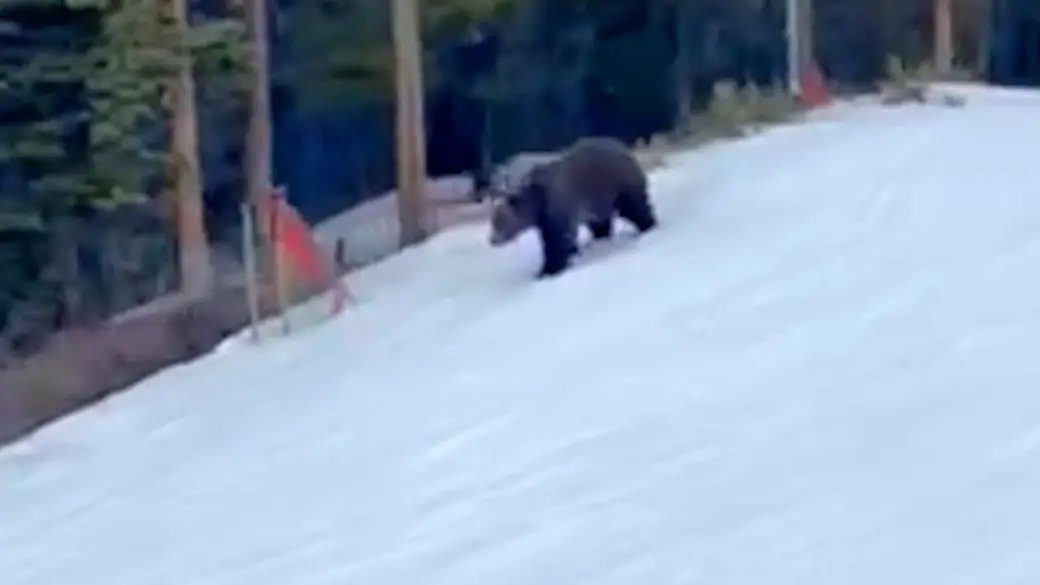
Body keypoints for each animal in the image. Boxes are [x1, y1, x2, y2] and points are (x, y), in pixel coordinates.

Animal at [487, 136, 657, 277]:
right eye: (493, 219)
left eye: (500, 219)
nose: (492, 240)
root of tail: (624, 148)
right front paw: (570, 254)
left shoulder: (557, 201)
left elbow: (558, 237)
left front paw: (548, 269)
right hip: (599, 199)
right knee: (600, 222)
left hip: (617, 182)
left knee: (634, 208)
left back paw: (647, 227)